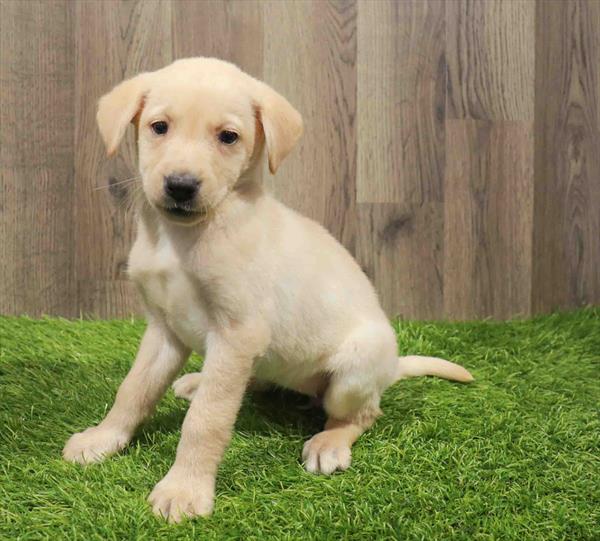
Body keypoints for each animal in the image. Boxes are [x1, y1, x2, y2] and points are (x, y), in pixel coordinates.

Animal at [62, 57, 474, 520]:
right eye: (159, 127)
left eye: (228, 137)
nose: (181, 185)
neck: (183, 238)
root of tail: (390, 370)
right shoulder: (164, 330)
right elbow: (133, 390)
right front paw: (103, 439)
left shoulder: (237, 334)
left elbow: (207, 420)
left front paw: (185, 489)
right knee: (255, 381)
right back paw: (197, 382)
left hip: (352, 373)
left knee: (363, 414)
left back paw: (329, 442)